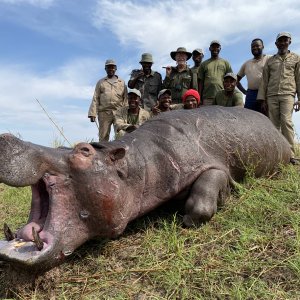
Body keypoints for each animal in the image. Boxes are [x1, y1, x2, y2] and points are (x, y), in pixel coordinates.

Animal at [0, 107, 292, 270]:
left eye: (83, 150)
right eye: (63, 145)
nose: (6, 137)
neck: (138, 164)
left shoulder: (211, 164)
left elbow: (204, 195)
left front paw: (187, 217)